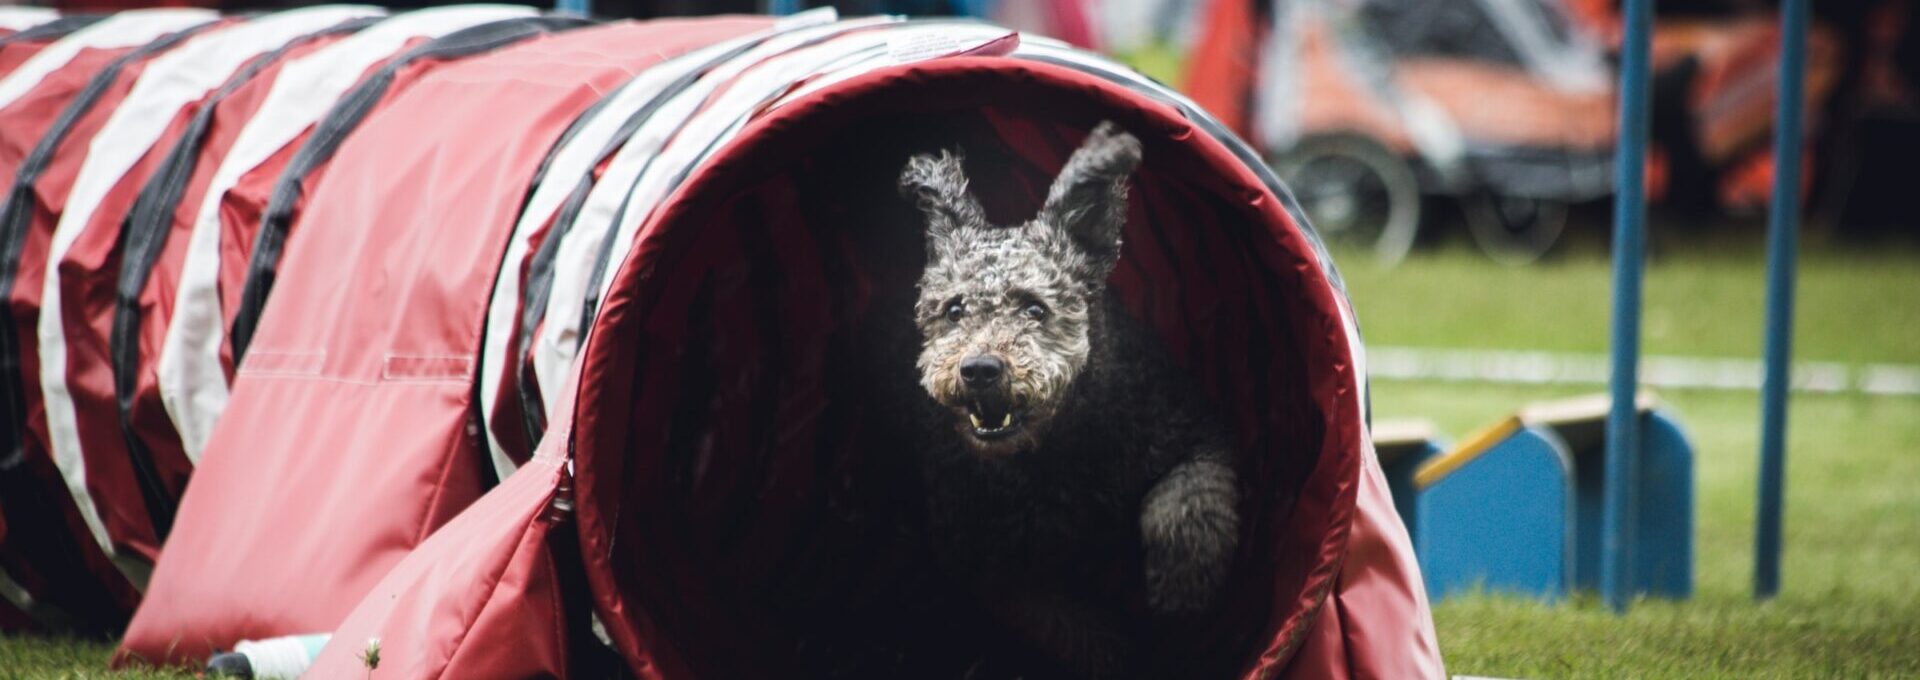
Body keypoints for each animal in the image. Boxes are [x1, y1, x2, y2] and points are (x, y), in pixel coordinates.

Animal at [898, 121, 1244, 676]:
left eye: (1035, 308)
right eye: (954, 309)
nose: (980, 370)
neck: (1057, 447)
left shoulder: (1193, 431)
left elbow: (1186, 503)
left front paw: (1181, 589)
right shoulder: (985, 557)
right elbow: (1059, 621)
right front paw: (1117, 650)